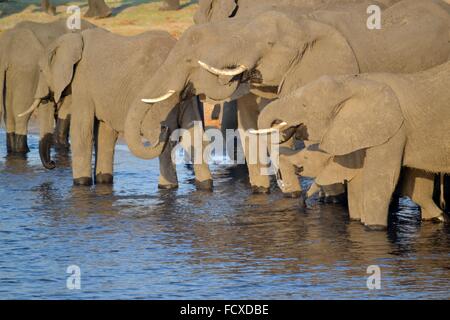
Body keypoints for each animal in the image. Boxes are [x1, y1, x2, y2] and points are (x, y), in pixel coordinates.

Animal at [0, 18, 95, 157]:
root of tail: (5, 53)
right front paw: (62, 146)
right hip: (27, 72)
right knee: (20, 113)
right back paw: (22, 151)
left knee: (10, 115)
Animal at [28, 28, 213, 190]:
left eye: (41, 70)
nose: (52, 164)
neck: (73, 38)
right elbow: (105, 133)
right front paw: (103, 181)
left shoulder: (82, 83)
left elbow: (82, 130)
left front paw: (81, 184)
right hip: (190, 95)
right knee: (194, 136)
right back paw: (205, 186)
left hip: (161, 99)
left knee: (161, 139)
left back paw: (166, 186)